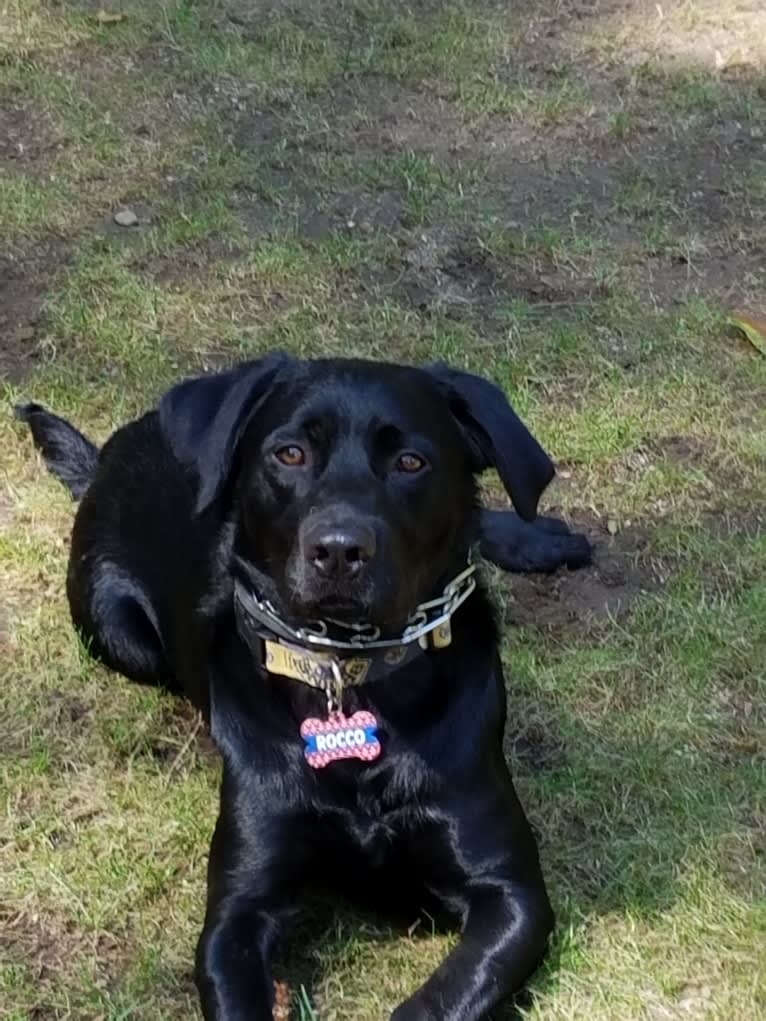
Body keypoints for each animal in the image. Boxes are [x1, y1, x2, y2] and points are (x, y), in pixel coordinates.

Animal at [18, 355, 592, 1016]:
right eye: (289, 454)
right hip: (117, 631)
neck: (348, 668)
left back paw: (538, 535)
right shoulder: (237, 912)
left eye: (411, 462)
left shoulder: (511, 893)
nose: (339, 550)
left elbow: (440, 999)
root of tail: (107, 456)